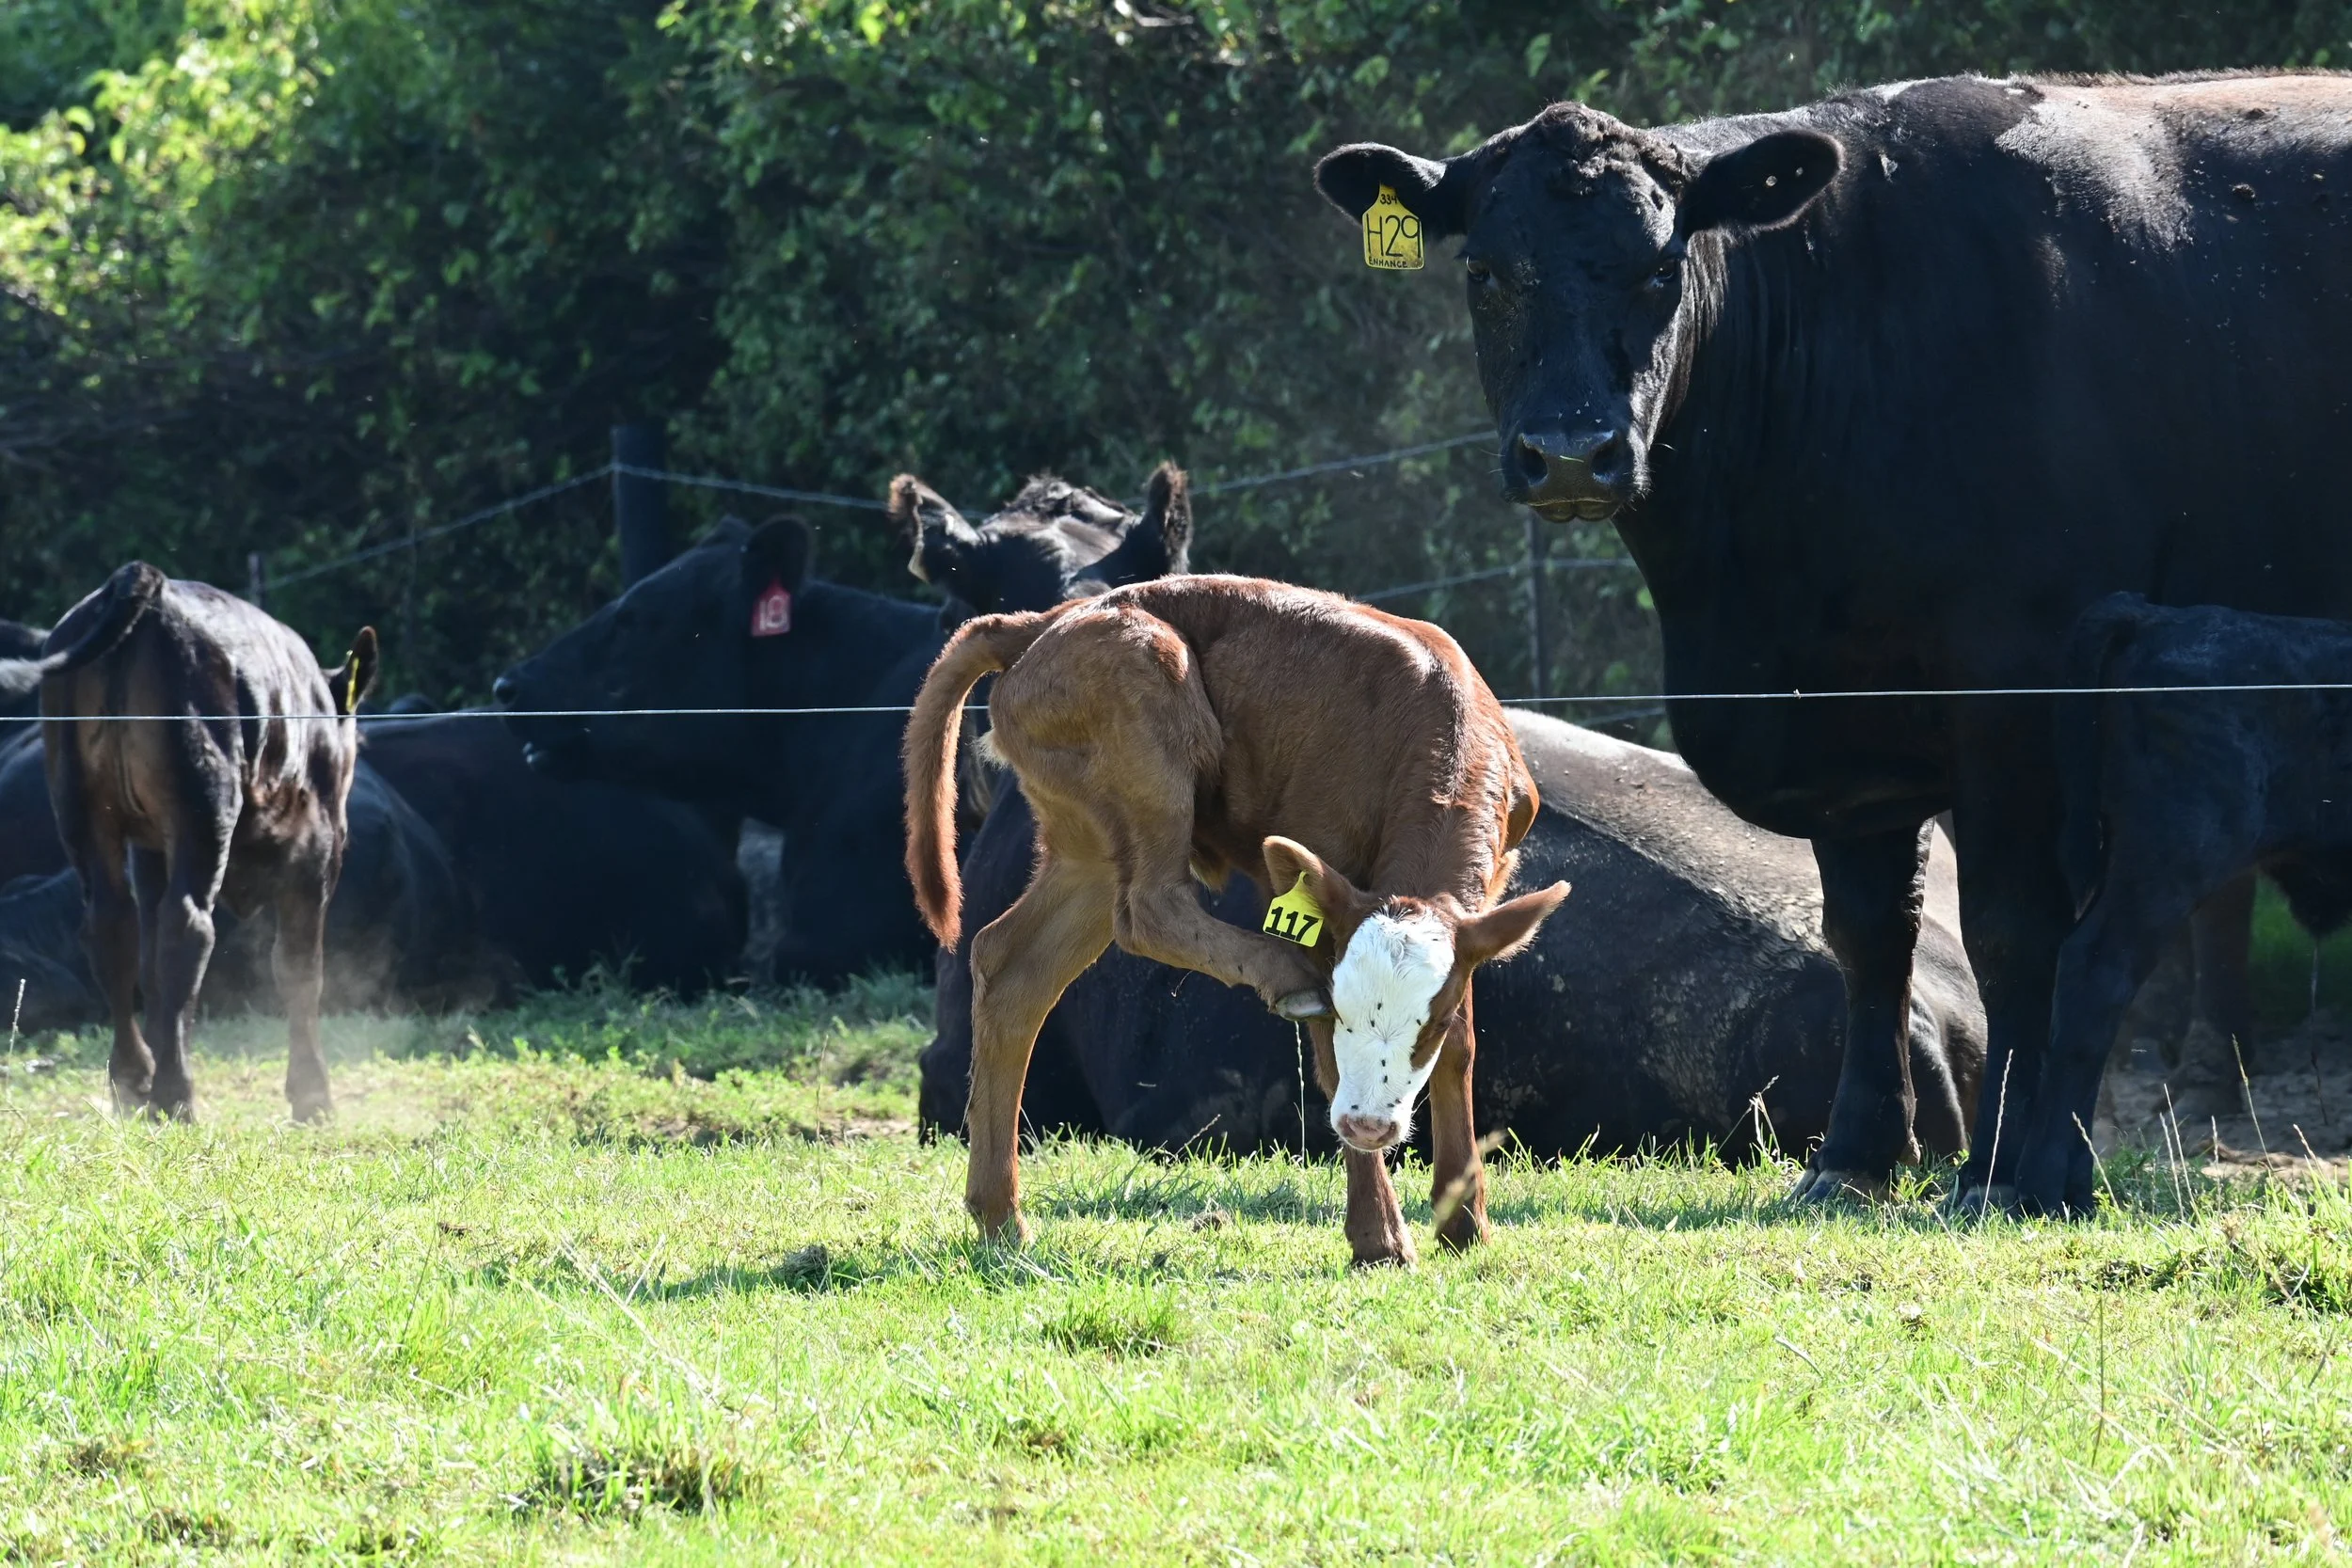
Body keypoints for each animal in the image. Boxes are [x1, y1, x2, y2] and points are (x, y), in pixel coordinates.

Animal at [12, 564, 377, 1120]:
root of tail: (148, 581)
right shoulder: (317, 846)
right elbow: (300, 967)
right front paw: (313, 1095)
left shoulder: (149, 849)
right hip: (203, 806)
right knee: (187, 925)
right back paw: (175, 1093)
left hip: (81, 807)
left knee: (116, 928)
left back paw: (135, 1080)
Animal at [903, 574, 1571, 1264]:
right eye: (1346, 1008)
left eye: (1429, 1022)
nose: (1368, 1124)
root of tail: (1047, 620)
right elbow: (1329, 1056)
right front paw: (1379, 1236)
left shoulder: (1480, 906)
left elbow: (1462, 1043)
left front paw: (1465, 1219)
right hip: (1145, 717)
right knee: (1149, 907)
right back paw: (1281, 973)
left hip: (1086, 841)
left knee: (1013, 971)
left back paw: (1000, 1217)